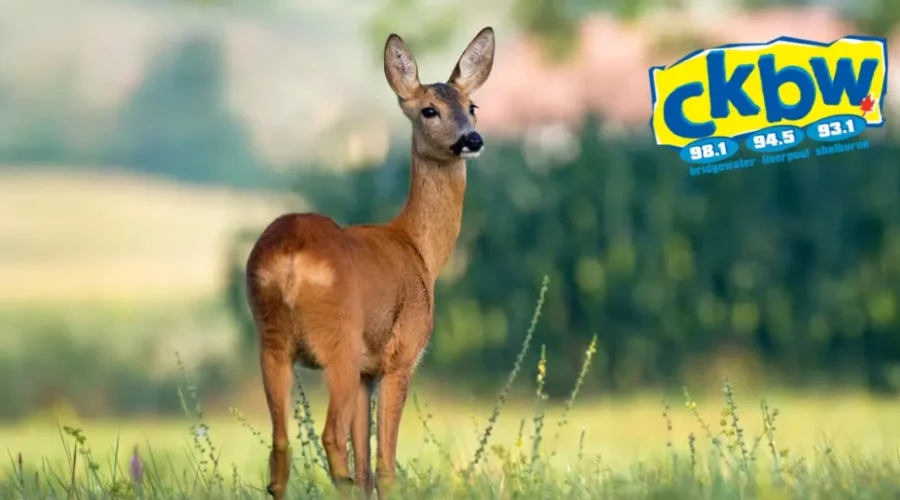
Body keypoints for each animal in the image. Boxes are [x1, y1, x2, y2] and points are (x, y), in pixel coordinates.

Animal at [243, 27, 496, 499]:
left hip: (272, 341)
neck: (418, 248)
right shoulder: (399, 356)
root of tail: (290, 259)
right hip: (337, 342)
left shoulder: (366, 373)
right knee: (329, 438)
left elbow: (366, 468)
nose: (472, 140)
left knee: (280, 448)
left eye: (472, 106)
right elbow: (384, 466)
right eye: (429, 110)